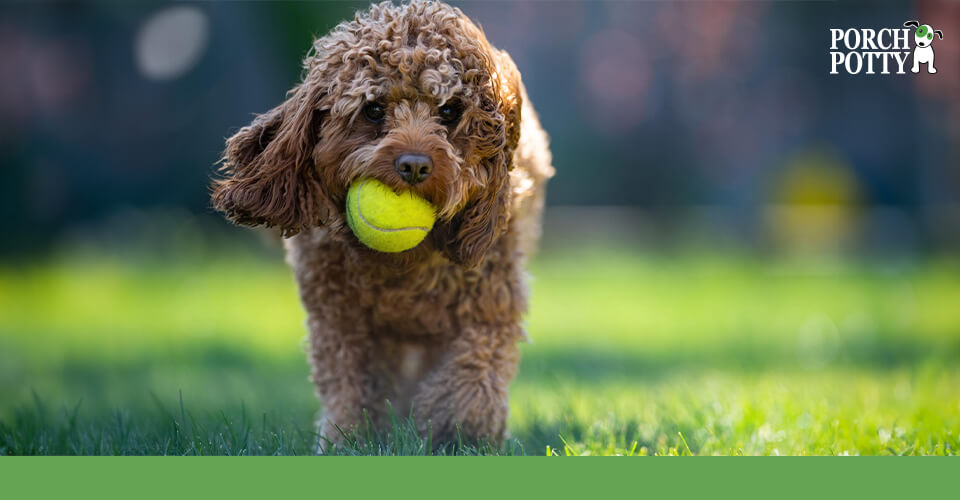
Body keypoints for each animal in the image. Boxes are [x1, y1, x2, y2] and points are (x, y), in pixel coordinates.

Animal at [210, 0, 556, 450]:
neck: (404, 266)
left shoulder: (488, 301)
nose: (414, 165)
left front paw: (457, 435)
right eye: (373, 109)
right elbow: (351, 387)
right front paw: (348, 441)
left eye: (450, 111)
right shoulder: (341, 319)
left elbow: (473, 376)